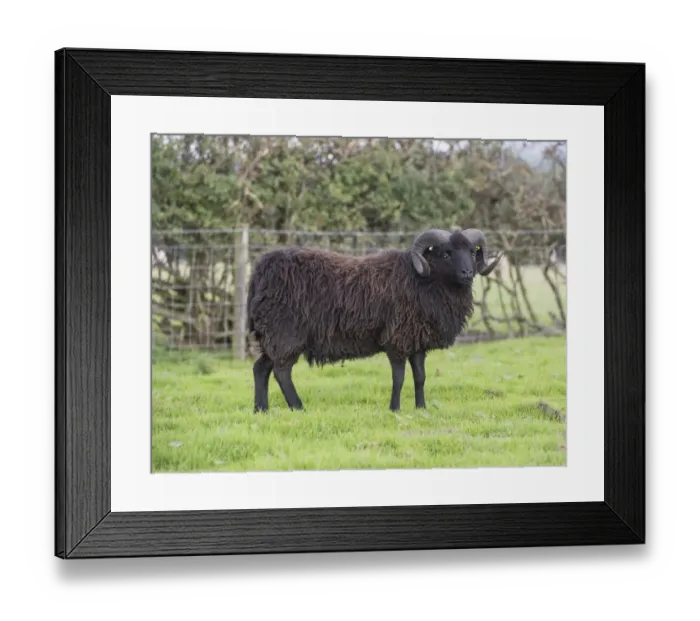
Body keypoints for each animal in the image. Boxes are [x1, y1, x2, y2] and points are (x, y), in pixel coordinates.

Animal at [246, 228, 504, 413]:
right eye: (446, 253)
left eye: (472, 252)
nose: (467, 273)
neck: (422, 280)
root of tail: (260, 271)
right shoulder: (397, 340)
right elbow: (399, 378)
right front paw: (395, 409)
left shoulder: (417, 341)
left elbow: (420, 377)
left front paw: (421, 409)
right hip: (285, 333)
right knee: (281, 371)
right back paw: (298, 407)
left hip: (272, 336)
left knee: (261, 368)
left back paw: (261, 410)